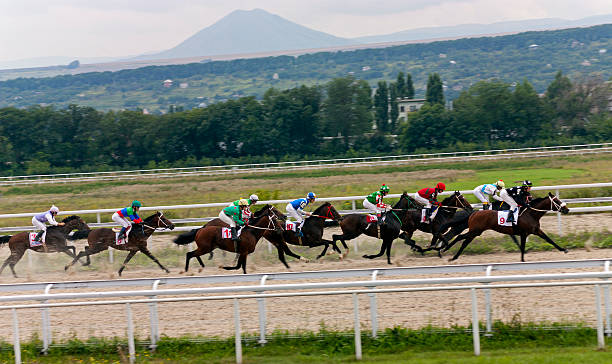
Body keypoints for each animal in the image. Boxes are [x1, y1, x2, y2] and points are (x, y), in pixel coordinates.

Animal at [172, 205, 308, 270]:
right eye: (274, 213)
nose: (284, 217)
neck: (252, 231)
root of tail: (201, 228)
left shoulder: (244, 252)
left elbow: (240, 266)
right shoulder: (244, 251)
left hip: (205, 247)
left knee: (193, 254)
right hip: (205, 247)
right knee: (190, 254)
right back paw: (187, 270)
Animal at [442, 193, 572, 262]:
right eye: (557, 201)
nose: (567, 209)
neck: (530, 213)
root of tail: (474, 213)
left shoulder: (536, 230)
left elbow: (549, 239)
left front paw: (563, 249)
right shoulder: (524, 233)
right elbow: (523, 246)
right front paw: (523, 260)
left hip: (475, 232)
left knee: (464, 241)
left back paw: (452, 255)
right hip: (475, 231)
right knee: (460, 237)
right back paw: (445, 250)